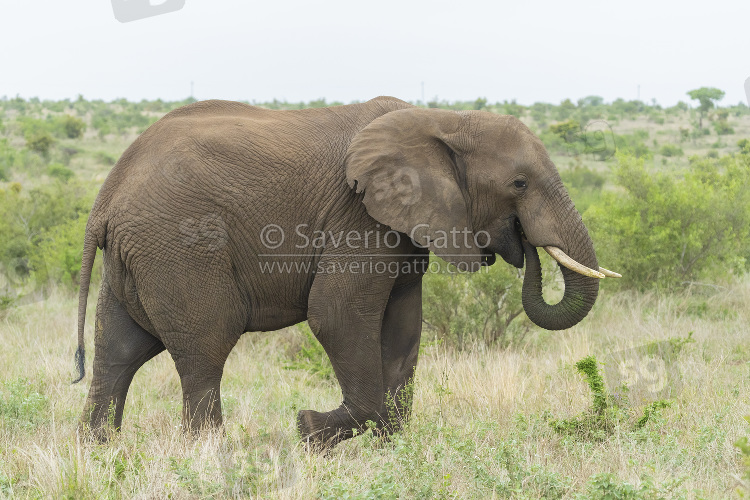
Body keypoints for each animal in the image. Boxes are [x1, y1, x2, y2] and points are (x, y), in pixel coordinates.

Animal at [73, 95, 620, 448]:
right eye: (520, 184)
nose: (523, 245)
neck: (443, 120)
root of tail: (106, 194)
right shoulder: (359, 217)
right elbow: (336, 315)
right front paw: (309, 429)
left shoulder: (401, 230)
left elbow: (403, 325)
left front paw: (386, 445)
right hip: (178, 247)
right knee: (205, 345)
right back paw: (207, 454)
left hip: (137, 257)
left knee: (118, 348)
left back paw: (98, 450)